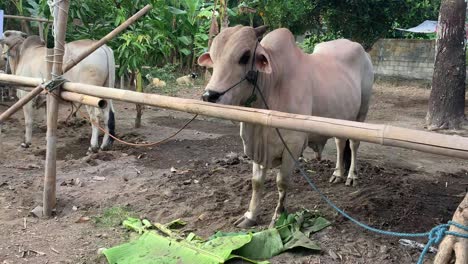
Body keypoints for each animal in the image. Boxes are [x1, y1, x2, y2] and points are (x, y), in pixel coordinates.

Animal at [199, 26, 374, 228]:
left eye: (244, 56)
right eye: (213, 57)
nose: (209, 96)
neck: (273, 86)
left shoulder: (293, 144)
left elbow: (282, 182)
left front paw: (278, 217)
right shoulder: (260, 147)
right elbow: (256, 182)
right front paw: (250, 216)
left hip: (361, 114)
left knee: (353, 144)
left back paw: (352, 176)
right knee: (340, 143)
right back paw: (338, 174)